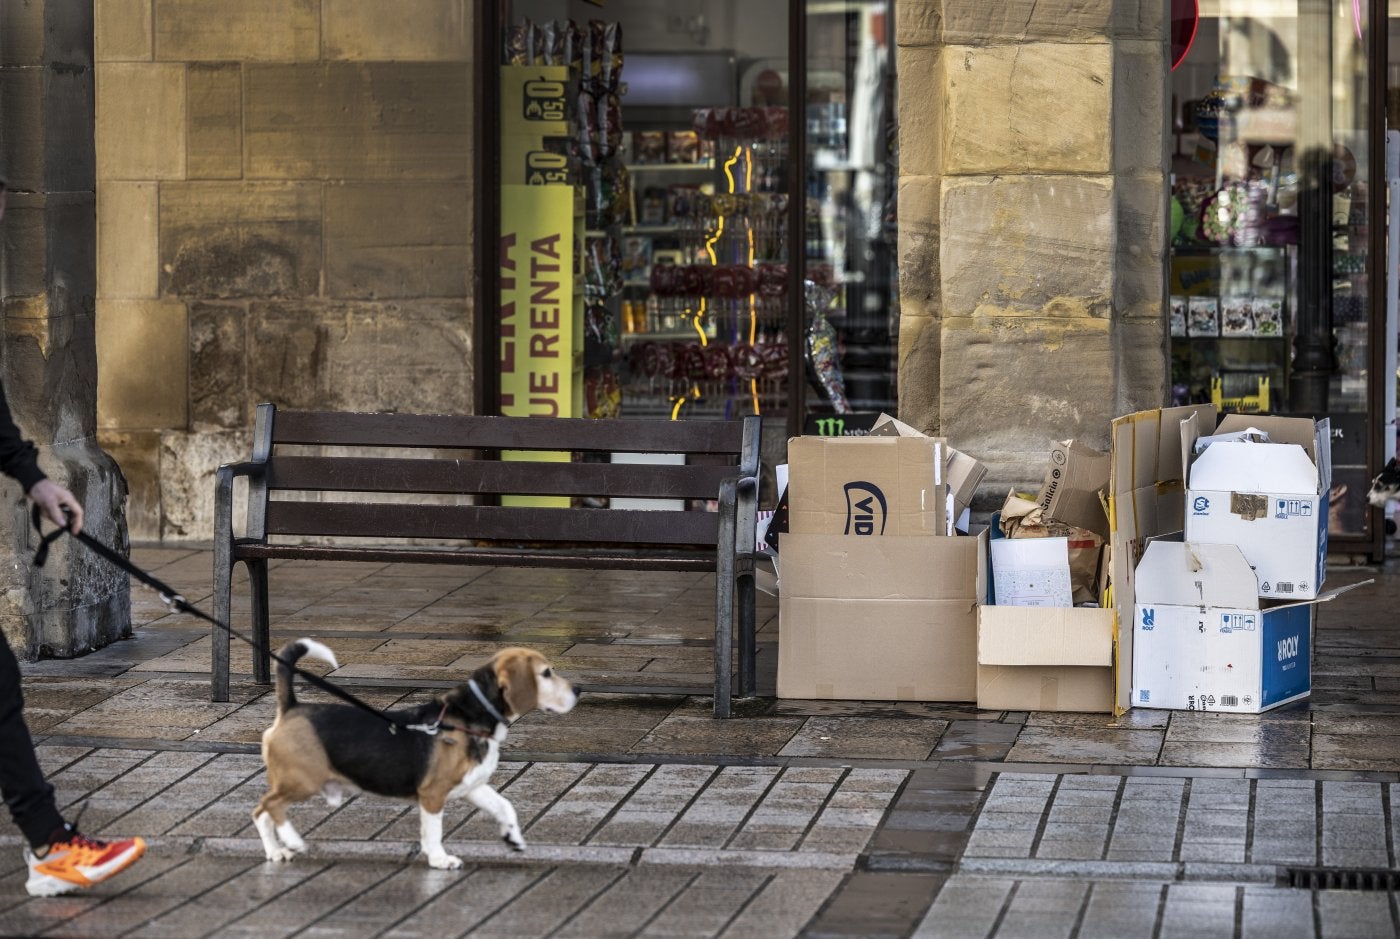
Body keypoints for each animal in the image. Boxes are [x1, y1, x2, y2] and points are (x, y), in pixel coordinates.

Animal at [254, 643, 576, 873]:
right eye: (546, 673)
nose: (579, 689)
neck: (467, 717)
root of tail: (291, 707)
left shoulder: (472, 786)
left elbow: (505, 807)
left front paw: (513, 838)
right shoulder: (433, 794)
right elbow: (433, 831)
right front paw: (440, 860)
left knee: (262, 813)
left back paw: (276, 852)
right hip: (303, 780)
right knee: (270, 806)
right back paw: (293, 841)